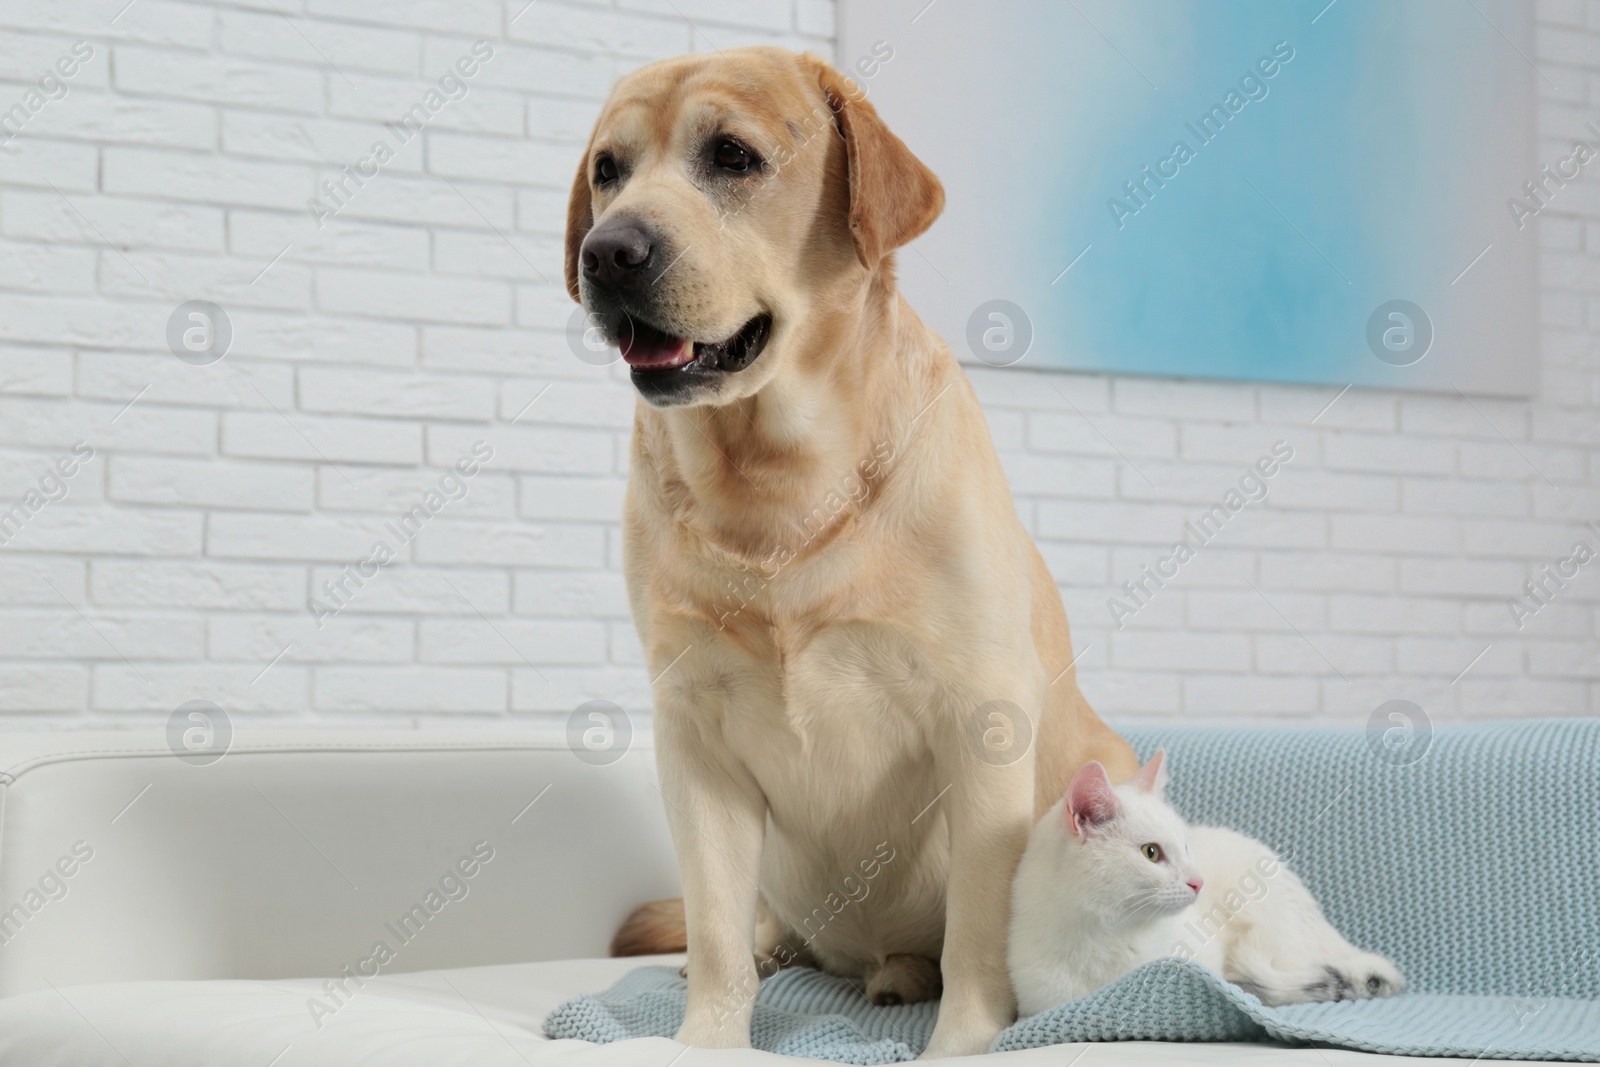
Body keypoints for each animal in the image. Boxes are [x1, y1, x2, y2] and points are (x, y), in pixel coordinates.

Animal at [569, 45, 1132, 1055]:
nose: (607, 252)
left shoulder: (982, 718)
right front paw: (707, 1037)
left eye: (733, 156)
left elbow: (978, 927)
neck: (774, 481)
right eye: (608, 171)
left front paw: (963, 1042)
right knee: (751, 928)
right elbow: (714, 928)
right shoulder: (692, 733)